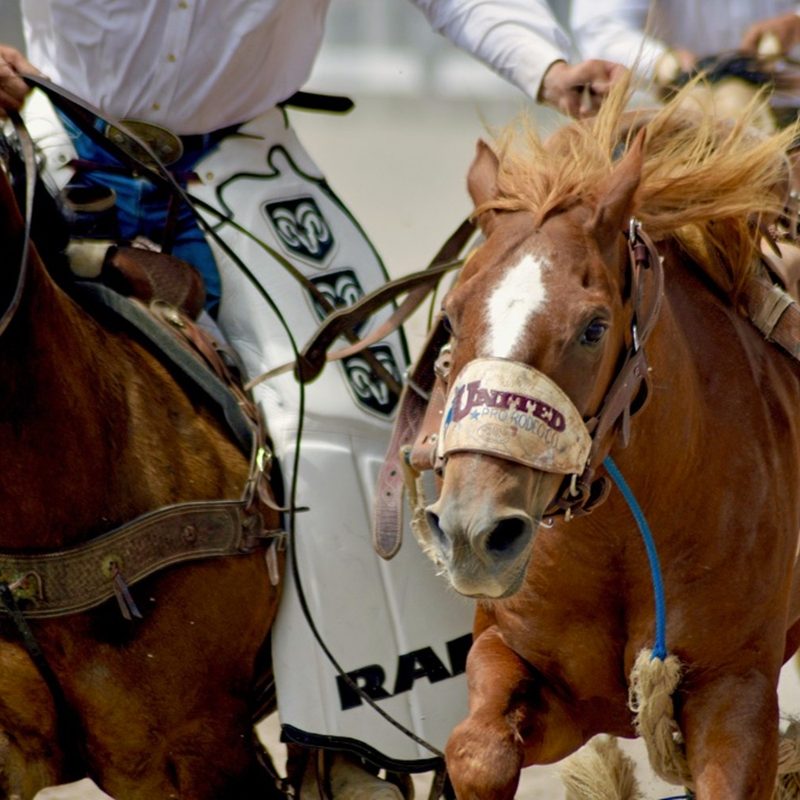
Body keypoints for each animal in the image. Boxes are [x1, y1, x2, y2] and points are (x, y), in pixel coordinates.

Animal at [404, 83, 800, 798]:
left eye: (593, 327)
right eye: (450, 314)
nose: (474, 531)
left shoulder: (739, 691)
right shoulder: (525, 662)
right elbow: (478, 752)